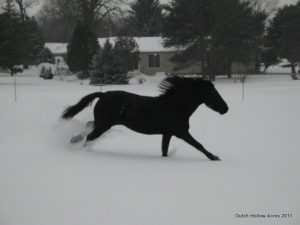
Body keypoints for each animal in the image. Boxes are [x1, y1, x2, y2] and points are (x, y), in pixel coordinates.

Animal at [62, 77, 229, 160]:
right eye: (213, 93)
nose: (226, 109)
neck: (176, 106)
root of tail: (103, 94)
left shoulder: (167, 134)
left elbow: (164, 150)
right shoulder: (181, 132)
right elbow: (199, 145)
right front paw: (214, 157)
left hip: (102, 123)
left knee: (88, 126)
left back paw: (73, 140)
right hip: (104, 125)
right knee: (89, 136)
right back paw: (83, 150)